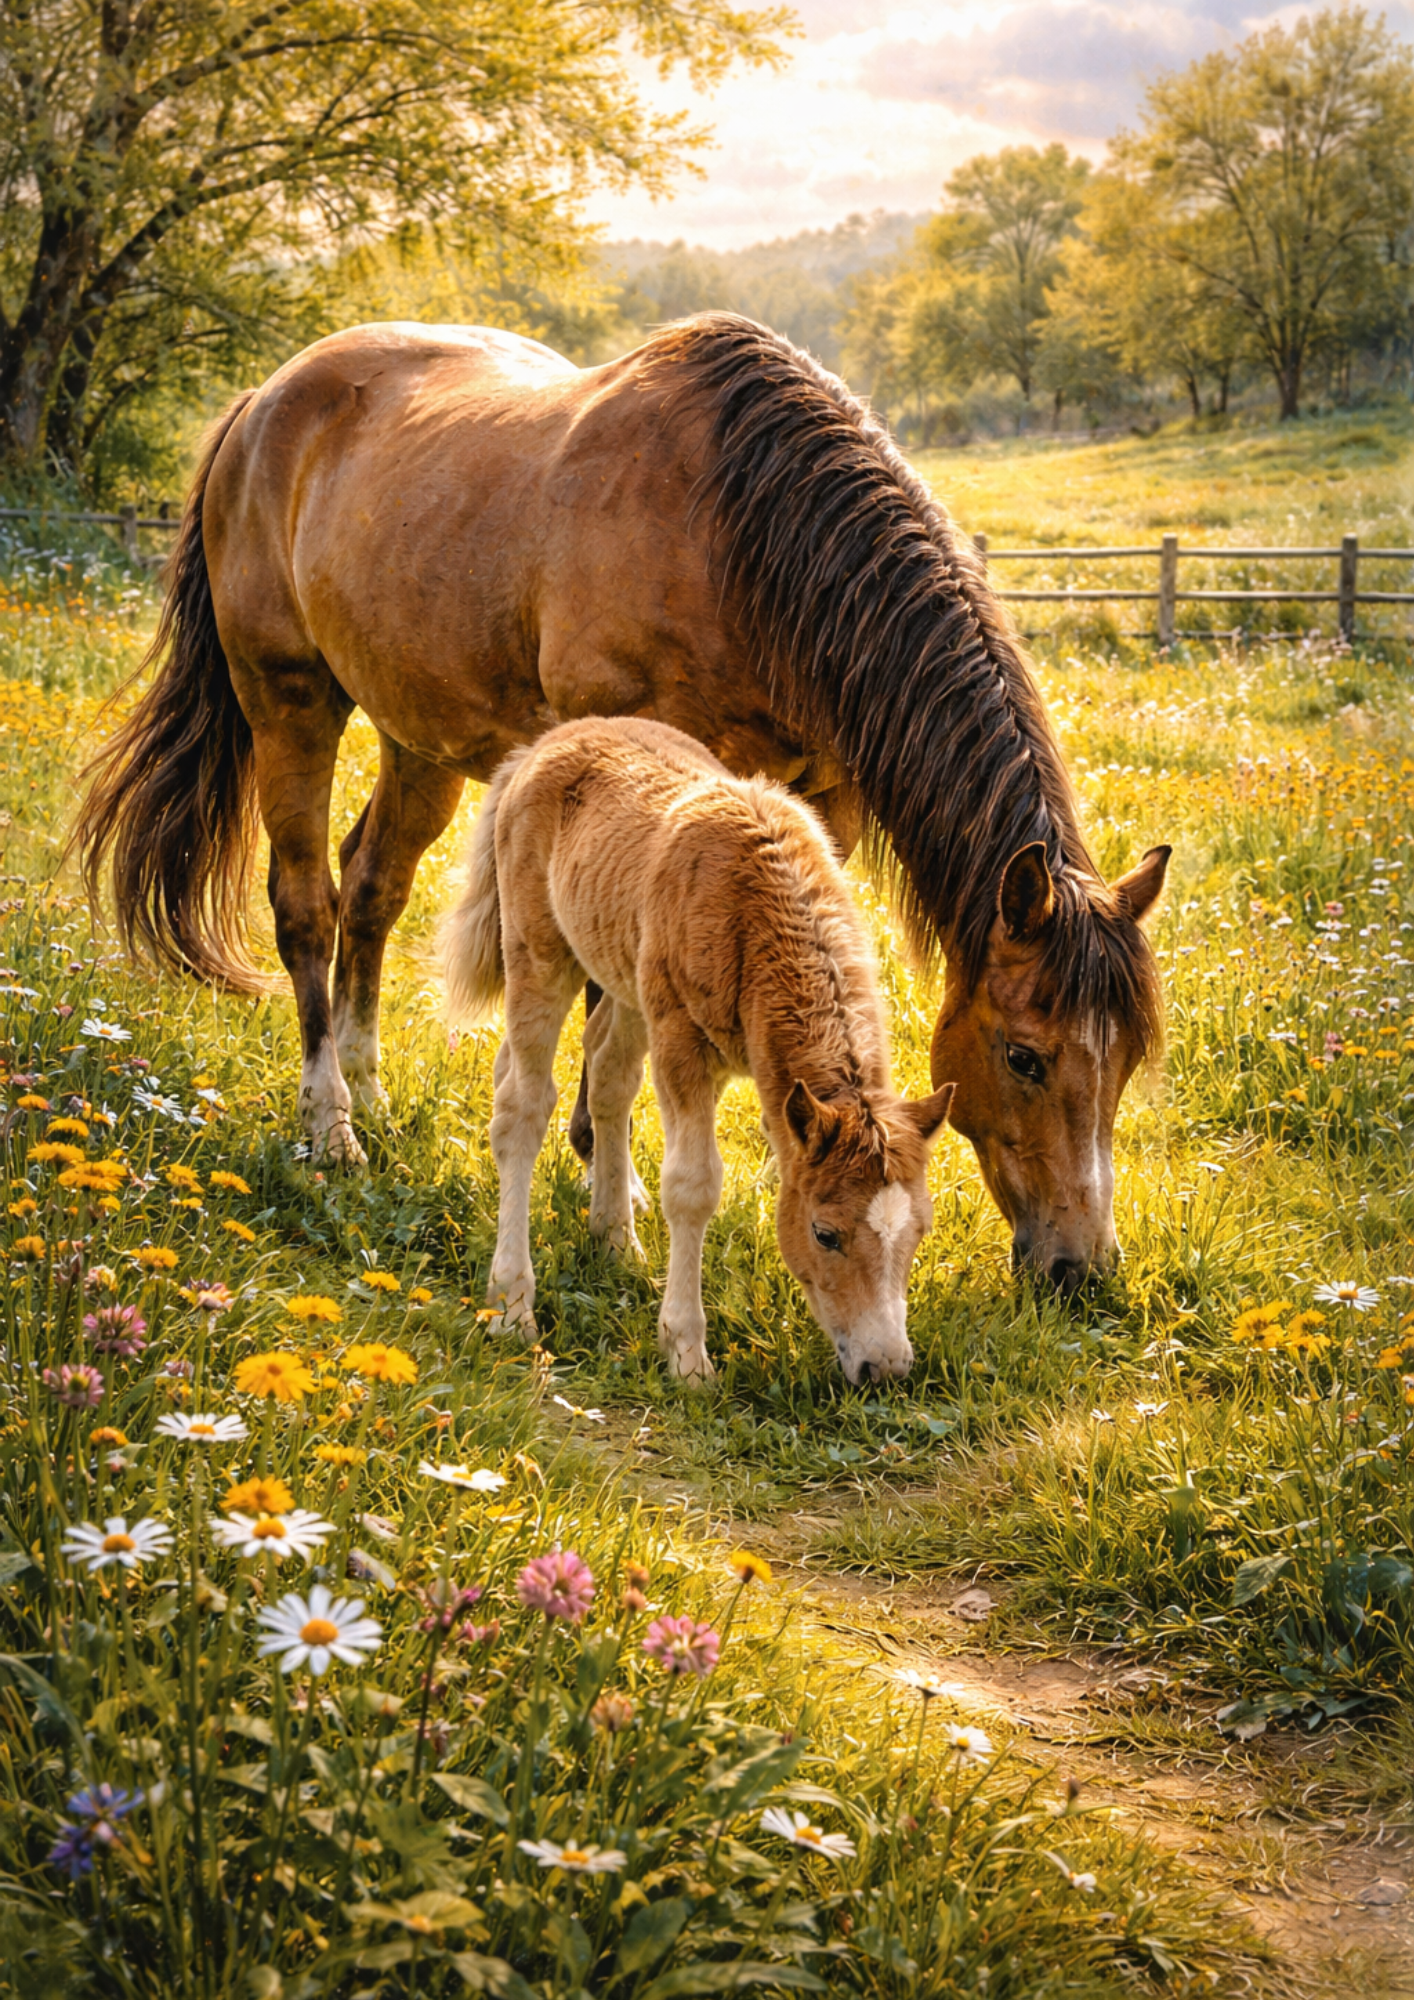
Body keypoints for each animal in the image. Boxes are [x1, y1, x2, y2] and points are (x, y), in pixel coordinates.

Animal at [74, 312, 1169, 1289]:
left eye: (1124, 1059)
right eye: (1025, 1056)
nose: (1081, 1268)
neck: (743, 534)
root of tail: (263, 401)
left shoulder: (819, 813)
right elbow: (616, 1009)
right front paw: (614, 1182)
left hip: (418, 737)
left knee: (371, 889)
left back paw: (371, 1089)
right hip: (290, 699)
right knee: (306, 902)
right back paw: (331, 1122)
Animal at [438, 715, 954, 1383]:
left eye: (918, 1233)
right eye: (824, 1234)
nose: (885, 1367)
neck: (758, 909)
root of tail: (541, 745)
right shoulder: (681, 1042)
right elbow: (693, 1185)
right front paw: (686, 1354)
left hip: (627, 981)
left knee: (606, 1074)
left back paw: (616, 1241)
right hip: (539, 955)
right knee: (520, 1110)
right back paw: (511, 1305)